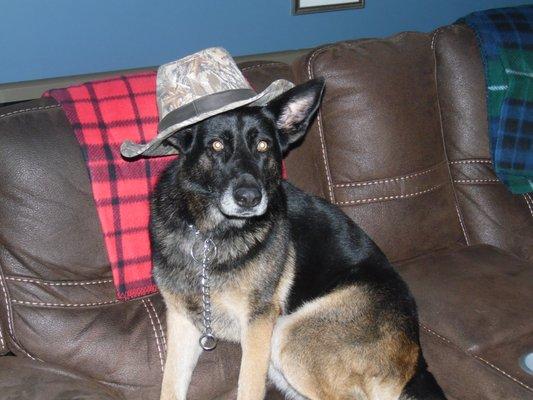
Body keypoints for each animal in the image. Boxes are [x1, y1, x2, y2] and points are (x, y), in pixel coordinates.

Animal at [150, 78, 444, 400]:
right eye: (216, 145)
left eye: (263, 145)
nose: (250, 198)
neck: (210, 235)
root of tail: (416, 361)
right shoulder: (183, 323)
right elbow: (169, 387)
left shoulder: (257, 323)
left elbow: (247, 387)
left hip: (286, 334)